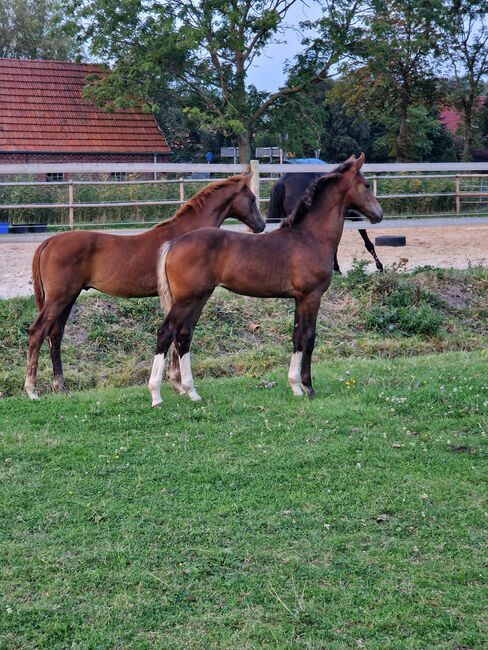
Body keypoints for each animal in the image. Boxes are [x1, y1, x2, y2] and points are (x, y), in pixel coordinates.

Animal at [24, 172, 264, 398]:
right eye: (252, 199)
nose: (261, 225)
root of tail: (48, 242)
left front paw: (176, 383)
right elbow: (176, 335)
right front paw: (179, 384)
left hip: (68, 298)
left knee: (55, 334)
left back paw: (60, 385)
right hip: (59, 298)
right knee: (37, 331)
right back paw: (32, 390)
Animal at [147, 153, 384, 404]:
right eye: (366, 185)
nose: (378, 214)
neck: (309, 237)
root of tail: (172, 244)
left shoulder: (300, 299)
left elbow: (297, 336)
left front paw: (295, 386)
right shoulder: (312, 296)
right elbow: (309, 337)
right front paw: (308, 386)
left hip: (199, 297)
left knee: (184, 335)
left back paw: (191, 391)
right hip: (186, 300)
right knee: (166, 332)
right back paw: (156, 395)